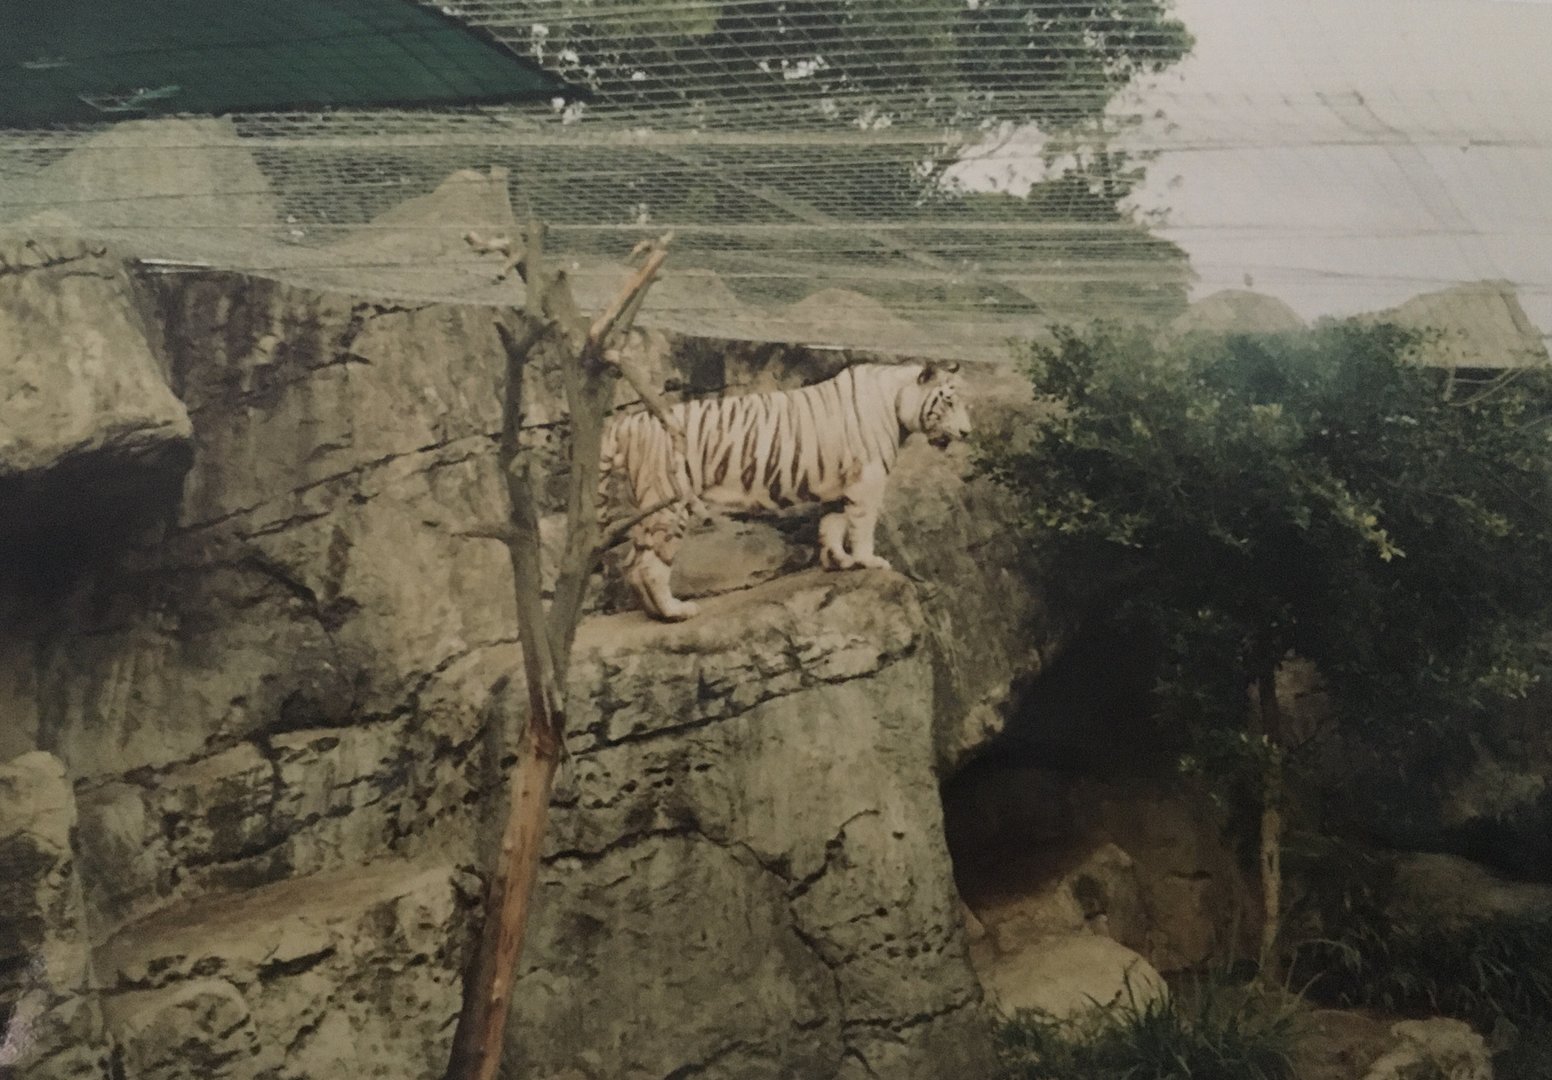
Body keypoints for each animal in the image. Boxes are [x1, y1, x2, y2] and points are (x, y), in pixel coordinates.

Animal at [599, 360, 972, 621]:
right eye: (949, 403)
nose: (968, 432)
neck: (895, 401)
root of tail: (631, 422)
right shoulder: (867, 478)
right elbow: (862, 524)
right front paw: (869, 560)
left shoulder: (842, 484)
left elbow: (833, 522)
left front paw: (838, 560)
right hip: (669, 502)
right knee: (650, 564)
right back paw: (675, 612)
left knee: (633, 562)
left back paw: (655, 612)